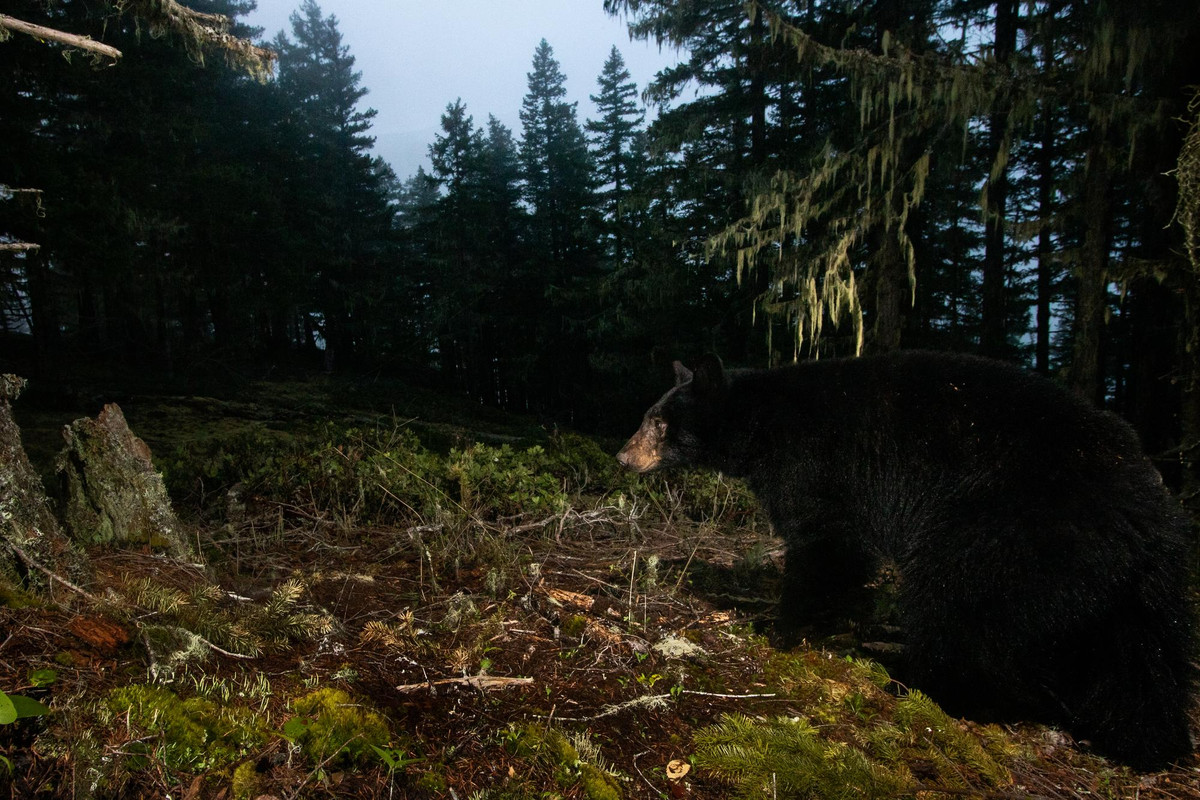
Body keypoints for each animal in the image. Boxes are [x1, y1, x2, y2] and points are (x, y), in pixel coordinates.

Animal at [617, 350, 1196, 769]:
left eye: (659, 421)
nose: (624, 456)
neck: (763, 423)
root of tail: (1150, 510)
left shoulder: (817, 466)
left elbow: (827, 546)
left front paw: (779, 629)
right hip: (1131, 584)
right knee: (1141, 658)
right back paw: (1144, 738)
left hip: (1008, 527)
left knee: (958, 600)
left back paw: (925, 683)